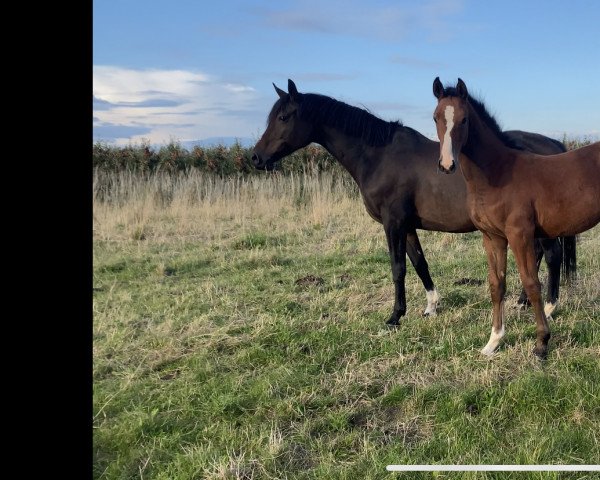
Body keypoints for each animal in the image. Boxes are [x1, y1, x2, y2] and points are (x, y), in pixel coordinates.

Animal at [251, 80, 576, 330]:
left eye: (284, 117)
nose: (256, 157)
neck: (379, 156)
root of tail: (555, 147)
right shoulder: (405, 225)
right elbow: (419, 262)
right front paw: (431, 307)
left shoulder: (392, 223)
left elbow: (398, 268)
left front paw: (394, 317)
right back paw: (523, 301)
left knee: (551, 256)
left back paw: (549, 308)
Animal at [434, 78, 596, 356]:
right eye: (435, 117)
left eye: (464, 119)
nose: (447, 164)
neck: (497, 174)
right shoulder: (492, 237)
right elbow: (496, 284)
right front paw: (493, 341)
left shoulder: (519, 235)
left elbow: (531, 283)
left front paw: (541, 343)